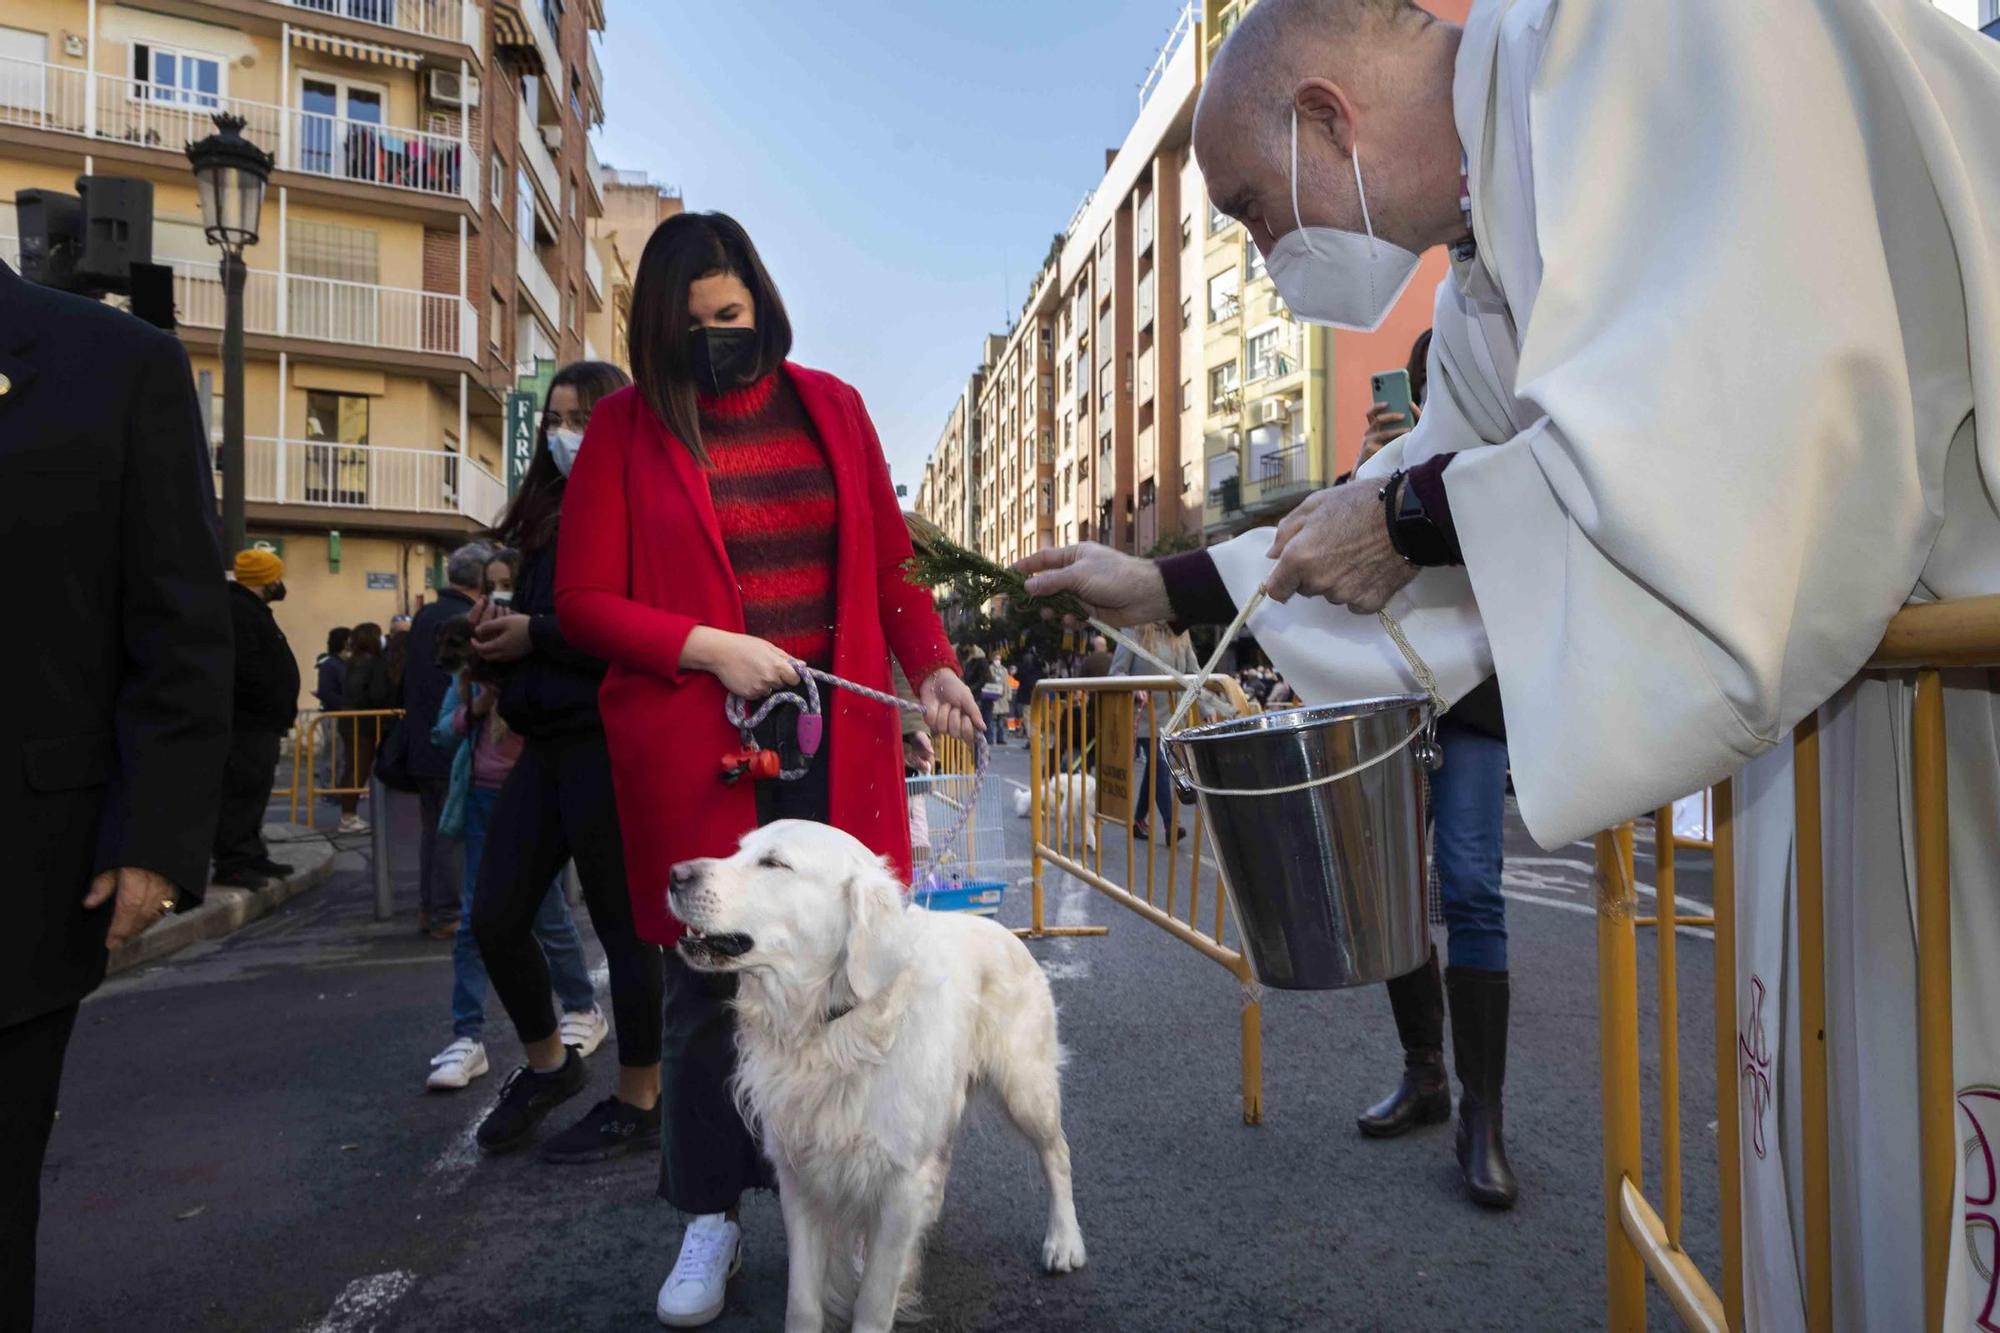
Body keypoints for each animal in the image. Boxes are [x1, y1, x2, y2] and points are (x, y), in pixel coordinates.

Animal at [672, 820, 1088, 1328]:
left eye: (774, 863)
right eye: (737, 850)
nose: (674, 874)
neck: (831, 1027)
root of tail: (1006, 932)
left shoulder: (899, 1182)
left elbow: (872, 1299)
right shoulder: (800, 1179)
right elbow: (803, 1301)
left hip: (1026, 1088)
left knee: (1058, 1154)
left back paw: (1064, 1241)